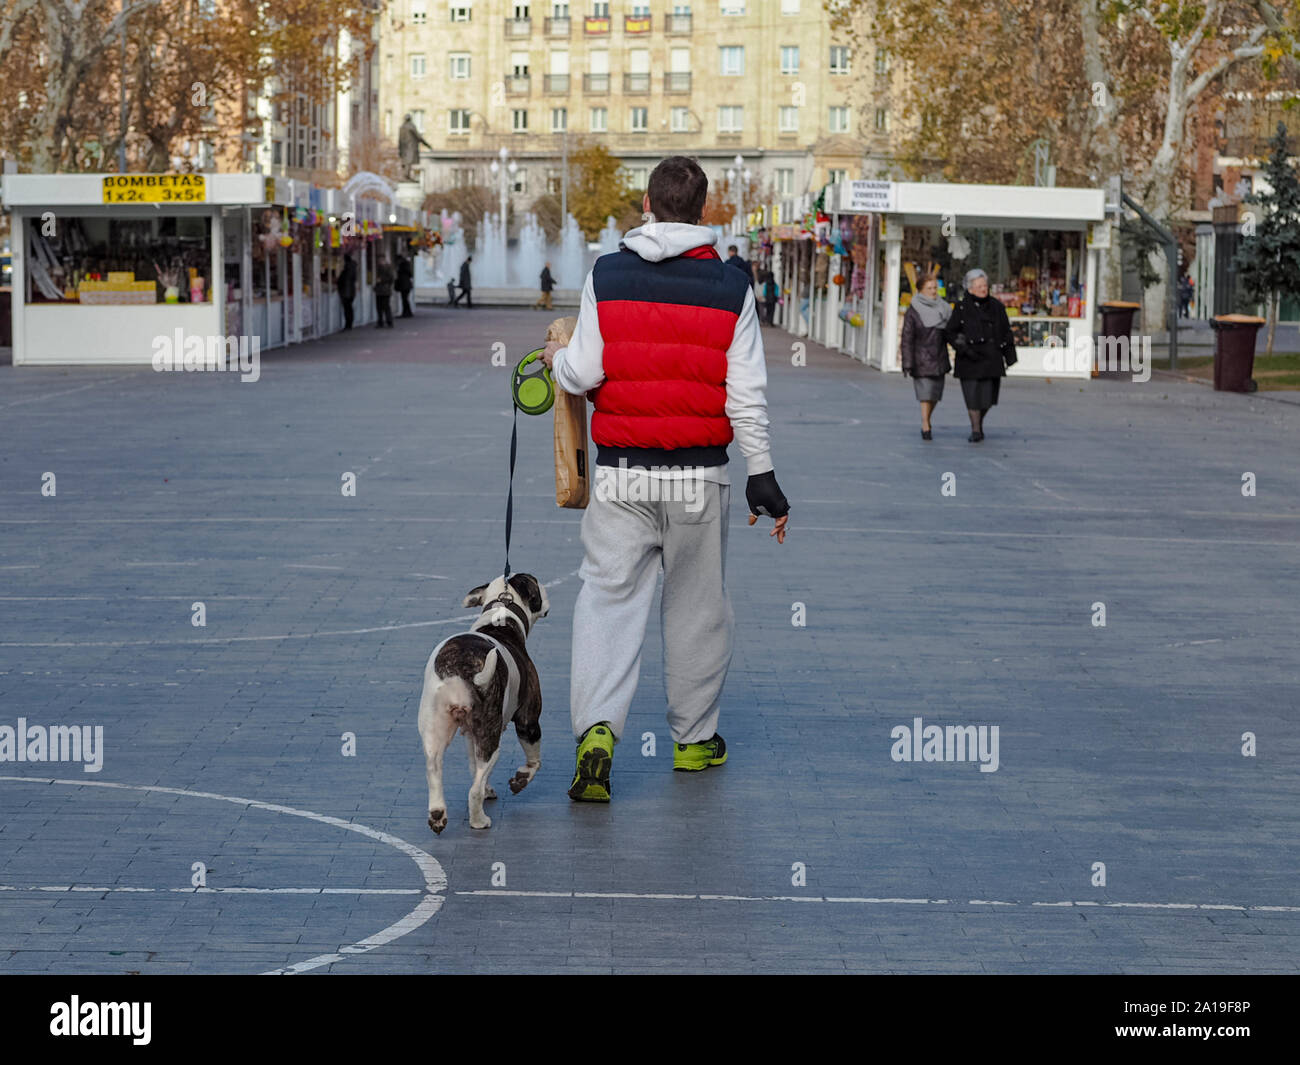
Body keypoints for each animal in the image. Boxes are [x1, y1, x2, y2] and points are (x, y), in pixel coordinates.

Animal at [418, 574, 546, 832]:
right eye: (536, 583)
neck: (502, 614)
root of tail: (462, 670)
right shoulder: (528, 722)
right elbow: (534, 761)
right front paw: (521, 779)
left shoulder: (471, 734)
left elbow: (474, 767)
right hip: (491, 735)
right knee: (473, 790)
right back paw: (479, 820)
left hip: (435, 728)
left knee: (435, 769)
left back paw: (437, 814)